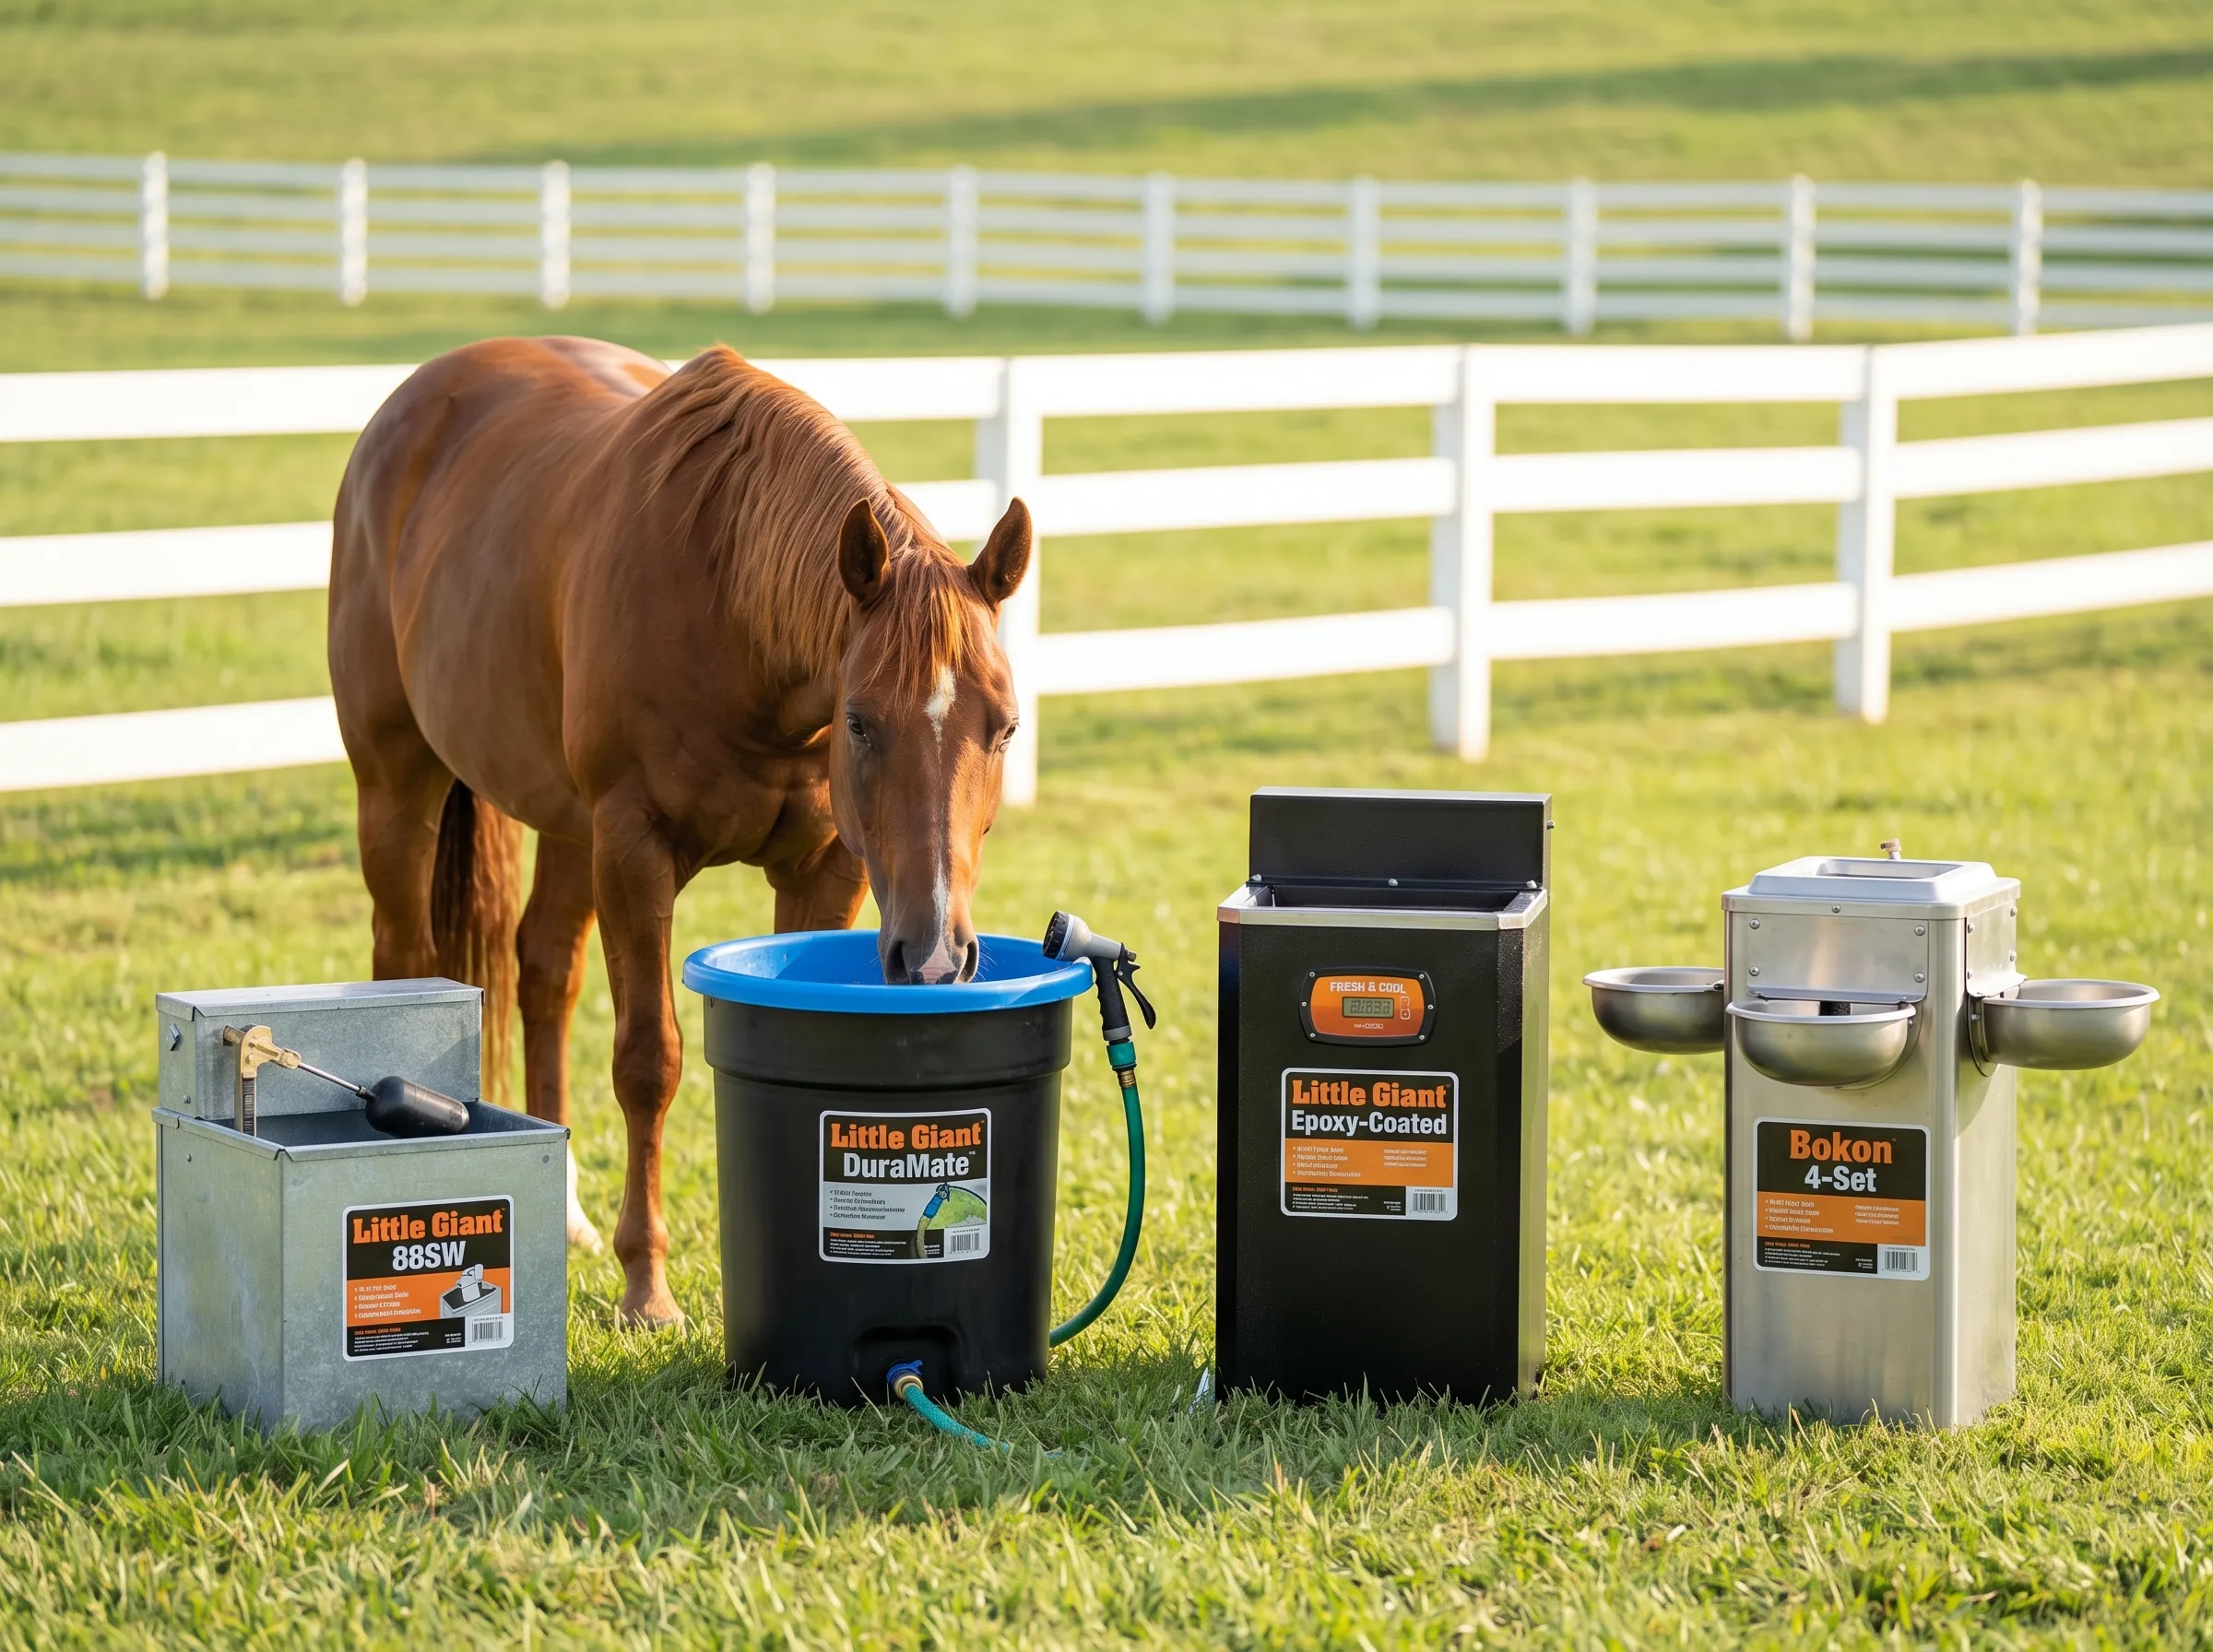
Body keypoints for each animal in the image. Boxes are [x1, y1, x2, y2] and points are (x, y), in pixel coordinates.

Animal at [329, 336, 1031, 1326]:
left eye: (1004, 726)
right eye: (859, 722)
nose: (935, 957)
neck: (734, 605)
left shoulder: (824, 870)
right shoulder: (635, 848)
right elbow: (648, 1061)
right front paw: (646, 1287)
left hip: (567, 826)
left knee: (544, 971)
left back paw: (568, 1213)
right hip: (399, 786)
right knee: (403, 955)